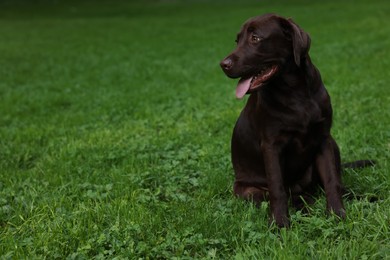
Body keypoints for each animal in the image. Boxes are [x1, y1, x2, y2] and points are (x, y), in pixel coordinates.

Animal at [219, 13, 344, 228]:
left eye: (255, 38)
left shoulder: (324, 139)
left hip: (332, 145)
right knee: (286, 195)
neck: (295, 92)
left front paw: (337, 212)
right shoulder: (271, 146)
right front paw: (279, 222)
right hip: (248, 191)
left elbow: (331, 179)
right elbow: (277, 188)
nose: (223, 64)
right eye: (237, 41)